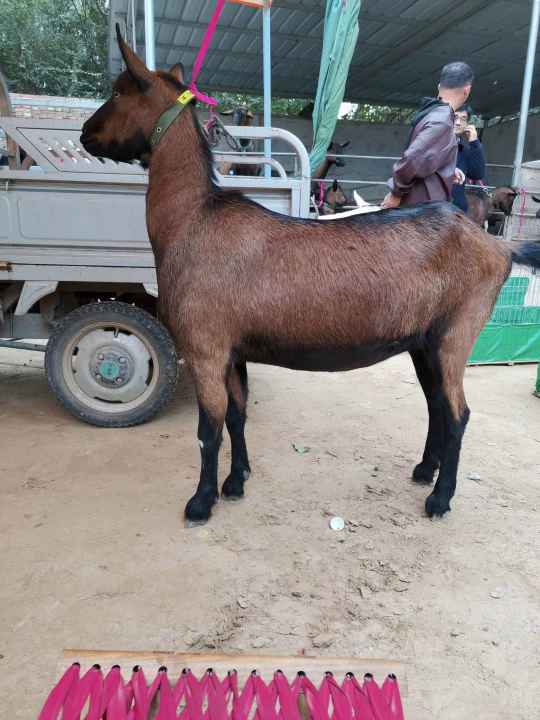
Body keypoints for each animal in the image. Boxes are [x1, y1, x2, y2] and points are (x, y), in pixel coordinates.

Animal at [80, 31, 540, 524]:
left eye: (118, 91)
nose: (85, 134)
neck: (193, 219)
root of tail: (497, 246)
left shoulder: (205, 345)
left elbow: (209, 429)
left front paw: (201, 502)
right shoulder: (232, 350)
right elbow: (238, 416)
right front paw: (236, 481)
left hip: (457, 332)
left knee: (458, 413)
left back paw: (440, 498)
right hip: (425, 341)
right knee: (437, 404)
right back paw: (424, 471)